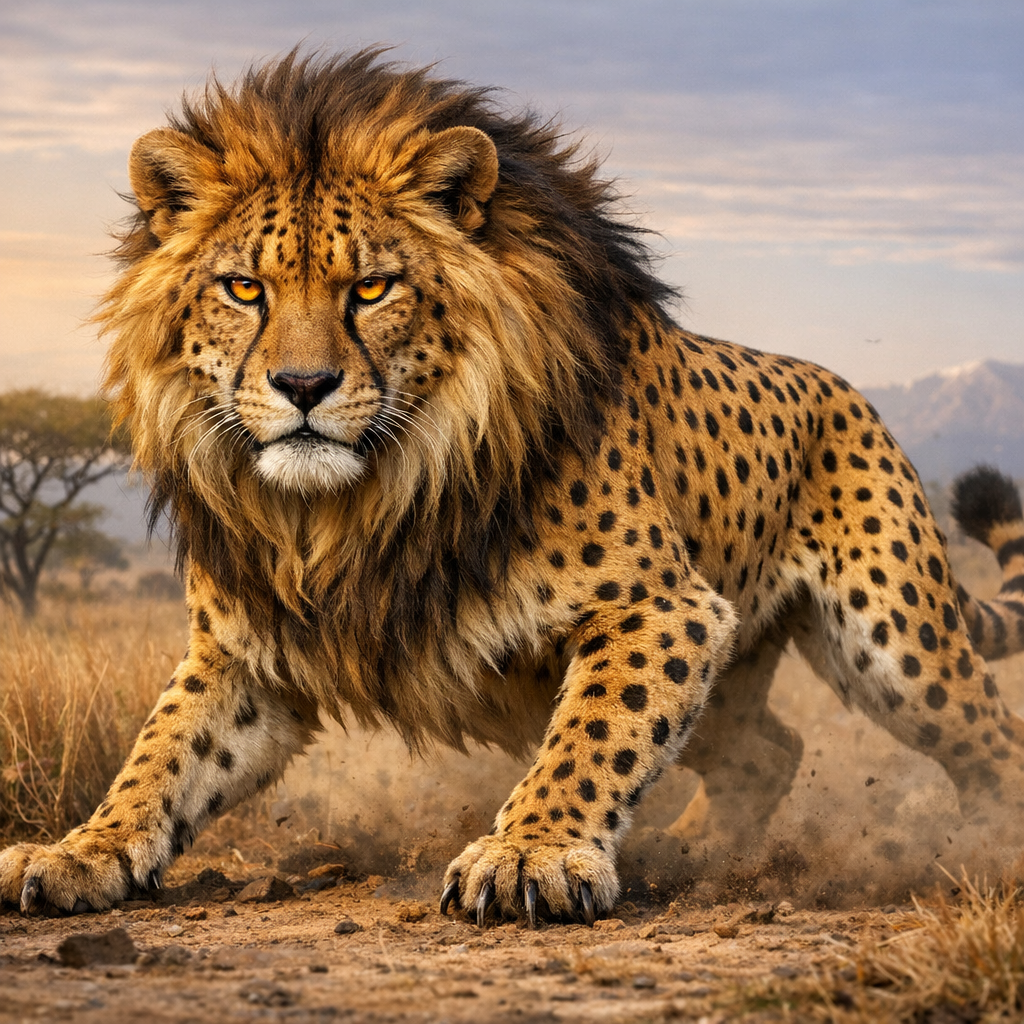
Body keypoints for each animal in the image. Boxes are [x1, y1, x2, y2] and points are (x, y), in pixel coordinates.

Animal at [3, 50, 1024, 927]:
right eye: (244, 289)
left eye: (371, 288)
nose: (303, 387)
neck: (350, 503)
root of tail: (842, 384)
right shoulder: (246, 653)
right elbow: (162, 753)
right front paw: (81, 851)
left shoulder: (667, 608)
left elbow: (595, 732)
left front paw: (530, 852)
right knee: (771, 753)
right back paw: (698, 853)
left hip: (898, 644)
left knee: (990, 740)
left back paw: (981, 846)